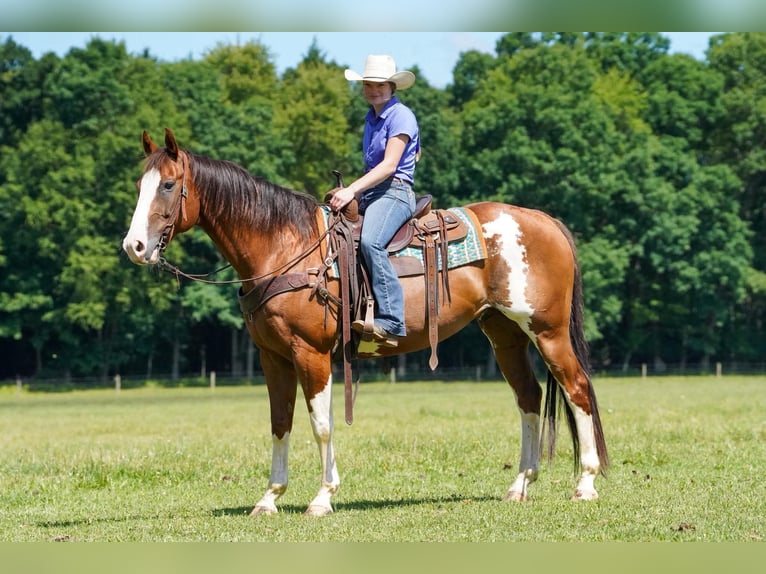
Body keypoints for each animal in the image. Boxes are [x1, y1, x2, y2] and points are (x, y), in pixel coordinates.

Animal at [122, 128, 608, 516]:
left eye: (168, 184)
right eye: (140, 185)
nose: (134, 246)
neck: (285, 246)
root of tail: (545, 221)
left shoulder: (311, 353)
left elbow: (321, 424)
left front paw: (322, 498)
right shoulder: (272, 357)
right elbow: (280, 423)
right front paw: (269, 498)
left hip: (547, 331)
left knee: (577, 390)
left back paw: (585, 484)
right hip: (504, 334)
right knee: (529, 398)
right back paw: (520, 485)